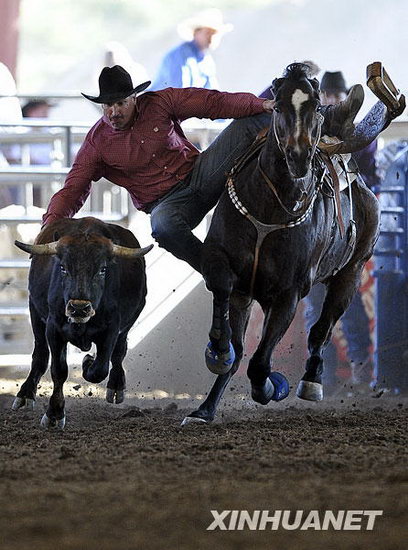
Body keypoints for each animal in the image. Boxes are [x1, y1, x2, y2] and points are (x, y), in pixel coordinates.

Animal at [182, 64, 380, 426]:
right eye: (277, 106)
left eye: (317, 107)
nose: (299, 157)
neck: (270, 206)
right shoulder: (238, 282)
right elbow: (235, 342)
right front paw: (205, 405)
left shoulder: (290, 293)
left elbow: (260, 362)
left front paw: (269, 388)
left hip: (351, 274)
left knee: (321, 330)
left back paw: (312, 381)